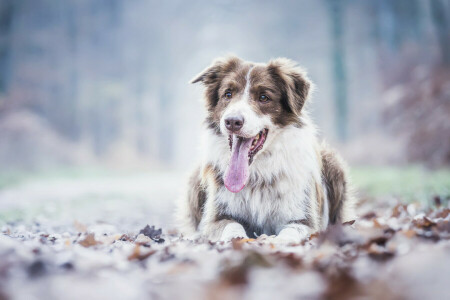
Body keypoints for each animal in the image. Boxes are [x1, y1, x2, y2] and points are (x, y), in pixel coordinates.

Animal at [176, 56, 356, 244]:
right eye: (228, 94)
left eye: (264, 97)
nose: (232, 121)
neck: (257, 175)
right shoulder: (217, 216)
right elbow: (231, 226)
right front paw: (237, 239)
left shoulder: (304, 219)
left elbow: (291, 231)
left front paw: (280, 242)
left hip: (333, 162)